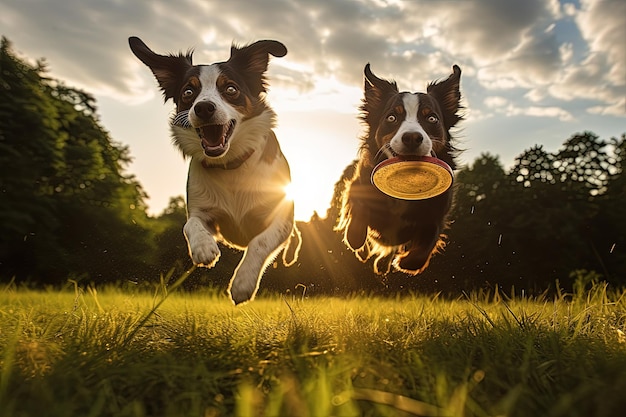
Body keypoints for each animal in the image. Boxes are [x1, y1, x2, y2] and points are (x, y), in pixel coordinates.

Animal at [128, 36, 298, 302]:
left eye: (230, 89)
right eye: (188, 92)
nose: (204, 108)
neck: (231, 165)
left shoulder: (281, 213)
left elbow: (260, 241)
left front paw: (242, 283)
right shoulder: (204, 211)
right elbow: (190, 224)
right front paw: (203, 248)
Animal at [336, 63, 458, 274]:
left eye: (432, 119)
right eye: (392, 117)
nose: (412, 137)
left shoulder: (437, 213)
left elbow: (422, 251)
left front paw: (403, 262)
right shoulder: (358, 185)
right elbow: (357, 214)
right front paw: (356, 237)